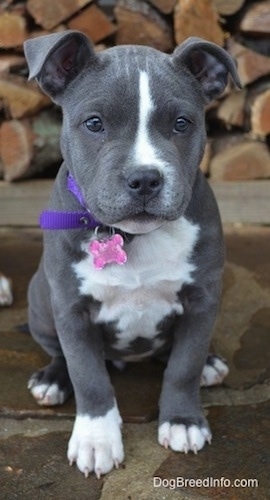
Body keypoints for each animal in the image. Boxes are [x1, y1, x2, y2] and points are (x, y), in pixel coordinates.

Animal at [23, 31, 240, 476]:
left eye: (181, 123)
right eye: (94, 123)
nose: (144, 179)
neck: (132, 237)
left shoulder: (202, 300)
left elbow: (184, 366)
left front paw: (183, 421)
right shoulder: (72, 309)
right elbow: (88, 375)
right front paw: (96, 440)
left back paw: (211, 364)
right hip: (40, 300)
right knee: (58, 353)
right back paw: (52, 379)